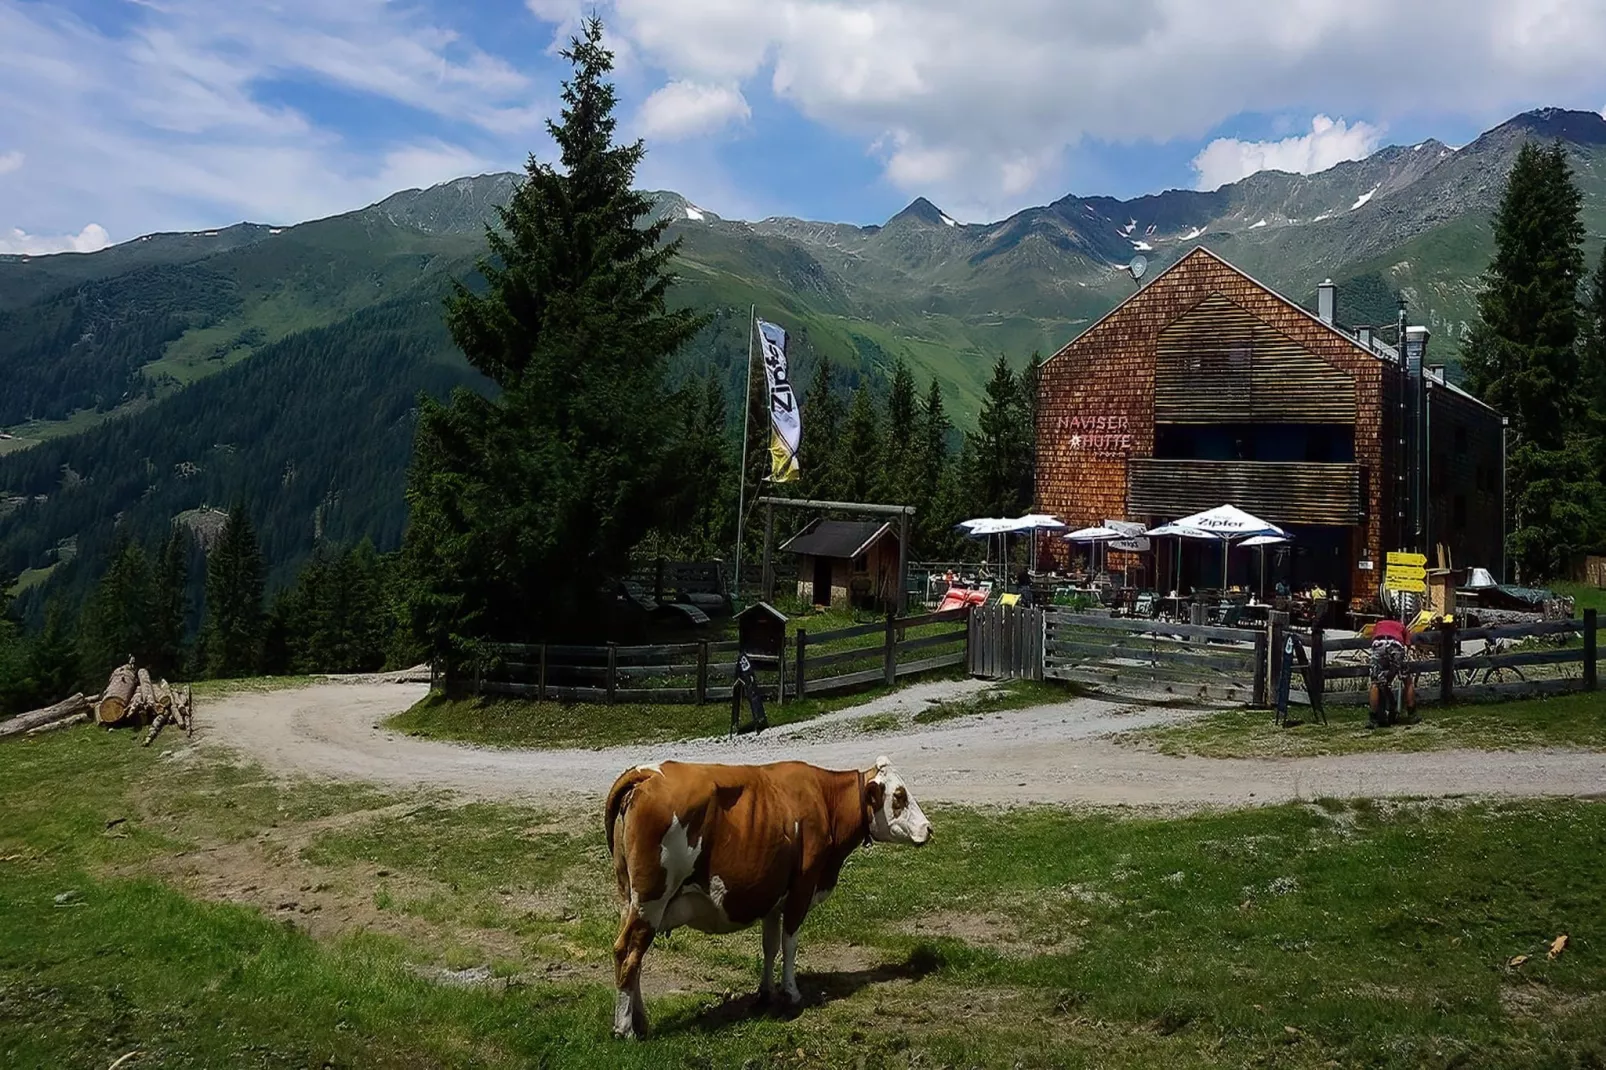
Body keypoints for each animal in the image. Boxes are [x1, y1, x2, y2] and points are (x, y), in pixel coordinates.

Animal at [603, 748, 931, 1034]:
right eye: (899, 796)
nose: (929, 828)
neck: (826, 799)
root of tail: (646, 773)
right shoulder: (802, 888)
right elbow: (789, 943)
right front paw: (791, 992)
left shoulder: (773, 896)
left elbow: (770, 945)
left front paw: (766, 993)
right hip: (651, 900)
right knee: (629, 952)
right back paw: (624, 1028)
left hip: (630, 900)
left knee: (631, 956)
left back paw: (640, 1021)